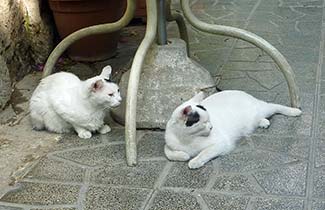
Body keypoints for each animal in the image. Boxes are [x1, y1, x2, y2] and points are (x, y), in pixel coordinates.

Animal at [165, 90, 302, 169]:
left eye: (209, 120)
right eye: (203, 123)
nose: (211, 127)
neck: (187, 139)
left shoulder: (221, 144)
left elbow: (204, 152)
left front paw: (194, 161)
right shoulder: (168, 144)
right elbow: (169, 153)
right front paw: (183, 155)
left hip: (264, 109)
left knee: (275, 106)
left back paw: (295, 111)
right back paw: (264, 122)